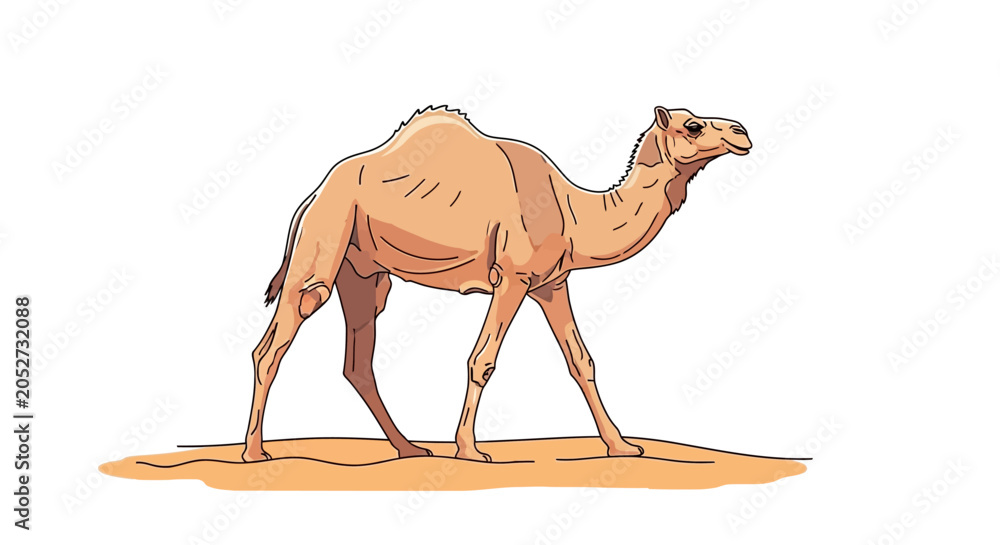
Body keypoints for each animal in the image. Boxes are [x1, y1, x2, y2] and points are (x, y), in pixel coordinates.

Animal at [241, 105, 752, 463]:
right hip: (323, 242)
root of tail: (312, 194)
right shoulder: (513, 277)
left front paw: (622, 446)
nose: (742, 133)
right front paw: (470, 450)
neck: (572, 211)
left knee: (357, 361)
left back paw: (409, 449)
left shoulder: (552, 284)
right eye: (693, 127)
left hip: (362, 272)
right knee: (276, 341)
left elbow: (581, 361)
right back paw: (255, 452)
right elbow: (482, 359)